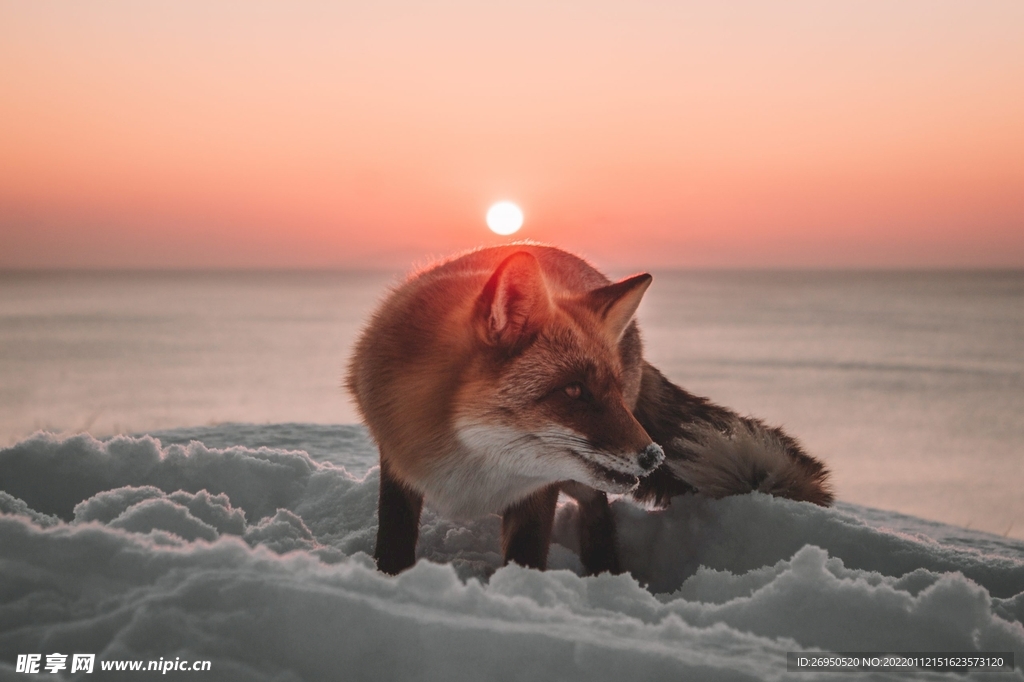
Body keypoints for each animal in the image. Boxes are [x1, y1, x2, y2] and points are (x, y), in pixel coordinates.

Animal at [346, 244, 831, 573]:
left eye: (610, 390)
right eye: (575, 391)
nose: (654, 456)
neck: (471, 467)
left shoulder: (538, 489)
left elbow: (526, 555)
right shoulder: (399, 465)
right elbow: (393, 539)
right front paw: (389, 581)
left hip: (580, 480)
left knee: (598, 514)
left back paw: (606, 574)